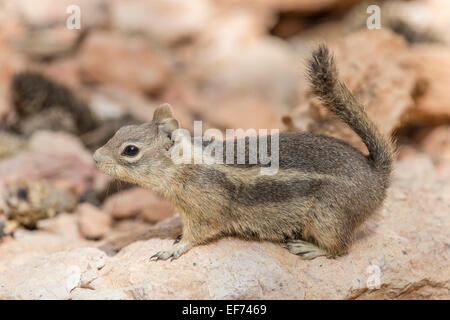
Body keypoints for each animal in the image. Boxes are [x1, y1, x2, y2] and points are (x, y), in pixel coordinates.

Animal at [93, 45, 392, 260]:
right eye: (121, 129)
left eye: (130, 150)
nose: (95, 158)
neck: (185, 168)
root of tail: (377, 174)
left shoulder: (206, 211)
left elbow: (197, 235)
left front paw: (172, 248)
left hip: (328, 216)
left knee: (341, 247)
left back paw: (310, 248)